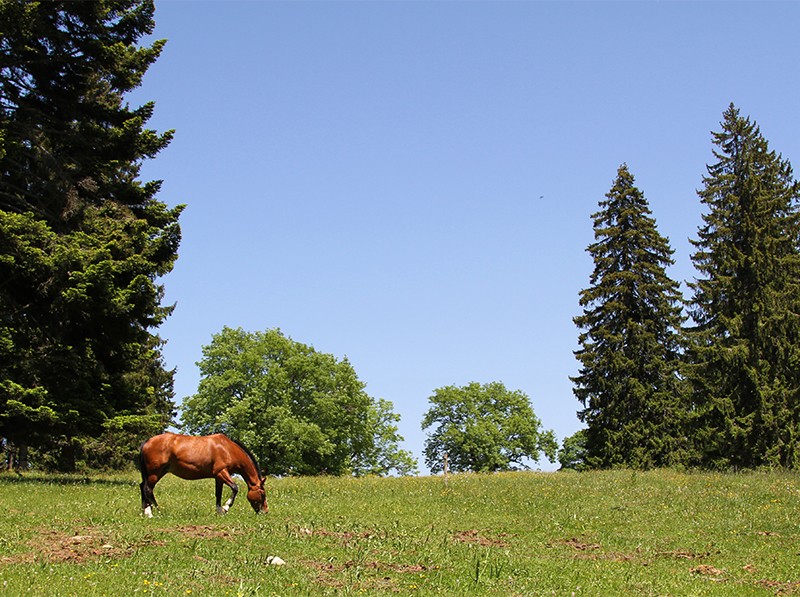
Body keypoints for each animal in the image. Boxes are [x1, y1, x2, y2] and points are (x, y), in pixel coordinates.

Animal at [138, 434, 268, 516]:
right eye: (262, 493)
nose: (265, 511)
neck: (227, 449)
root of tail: (147, 442)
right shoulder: (221, 472)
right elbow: (235, 488)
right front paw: (225, 508)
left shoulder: (218, 477)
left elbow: (218, 494)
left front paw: (219, 511)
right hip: (154, 473)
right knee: (147, 489)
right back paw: (151, 513)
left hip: (157, 473)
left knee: (143, 487)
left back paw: (147, 511)